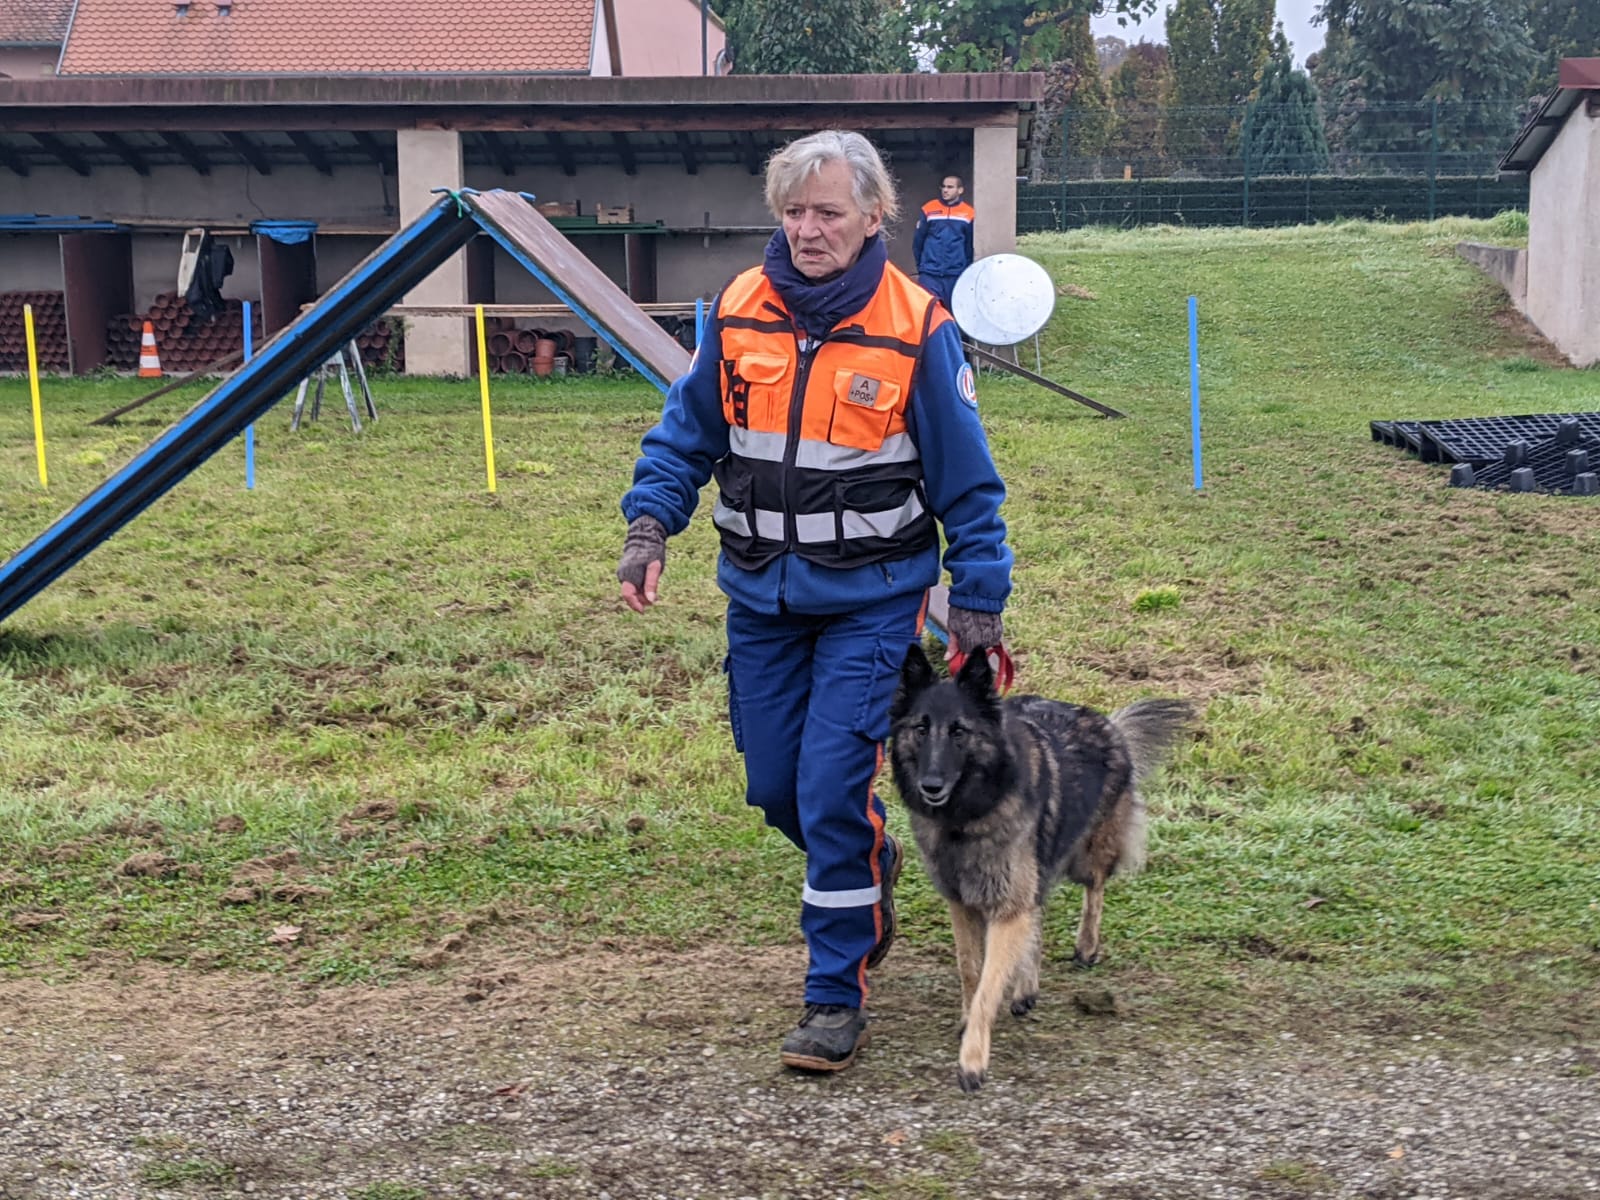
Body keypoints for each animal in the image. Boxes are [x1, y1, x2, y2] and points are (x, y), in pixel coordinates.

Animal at [896, 643, 1196, 1094]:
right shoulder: (962, 901)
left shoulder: (1007, 905)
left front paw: (972, 1059)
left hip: (1083, 856)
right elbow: (970, 970)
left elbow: (988, 985)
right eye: (920, 728)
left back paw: (1086, 946)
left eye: (959, 732)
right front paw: (970, 1020)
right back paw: (1026, 985)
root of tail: (1109, 725)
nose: (930, 785)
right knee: (1038, 913)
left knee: (1094, 889)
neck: (968, 816)